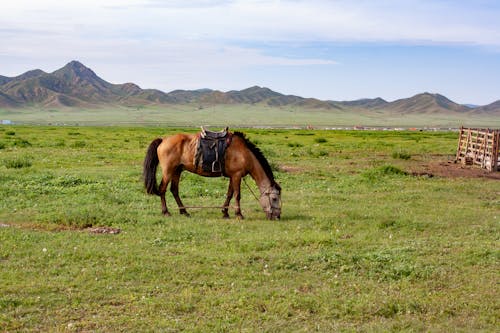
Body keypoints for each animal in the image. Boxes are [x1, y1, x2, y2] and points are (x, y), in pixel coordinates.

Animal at [143, 128, 282, 219]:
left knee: (174, 190)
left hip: (177, 170)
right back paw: (166, 212)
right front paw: (239, 214)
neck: (245, 154)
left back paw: (184, 212)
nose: (277, 216)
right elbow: (237, 195)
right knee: (162, 189)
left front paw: (225, 213)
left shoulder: (232, 176)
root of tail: (163, 140)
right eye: (274, 198)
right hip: (168, 171)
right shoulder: (237, 176)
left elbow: (229, 194)